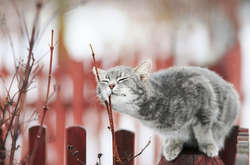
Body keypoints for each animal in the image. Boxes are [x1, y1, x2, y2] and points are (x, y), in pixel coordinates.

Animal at [93, 59, 239, 161]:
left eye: (122, 78)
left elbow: (203, 130)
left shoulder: (203, 98)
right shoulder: (168, 130)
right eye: (105, 80)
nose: (111, 85)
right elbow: (174, 135)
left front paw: (208, 145)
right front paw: (172, 146)